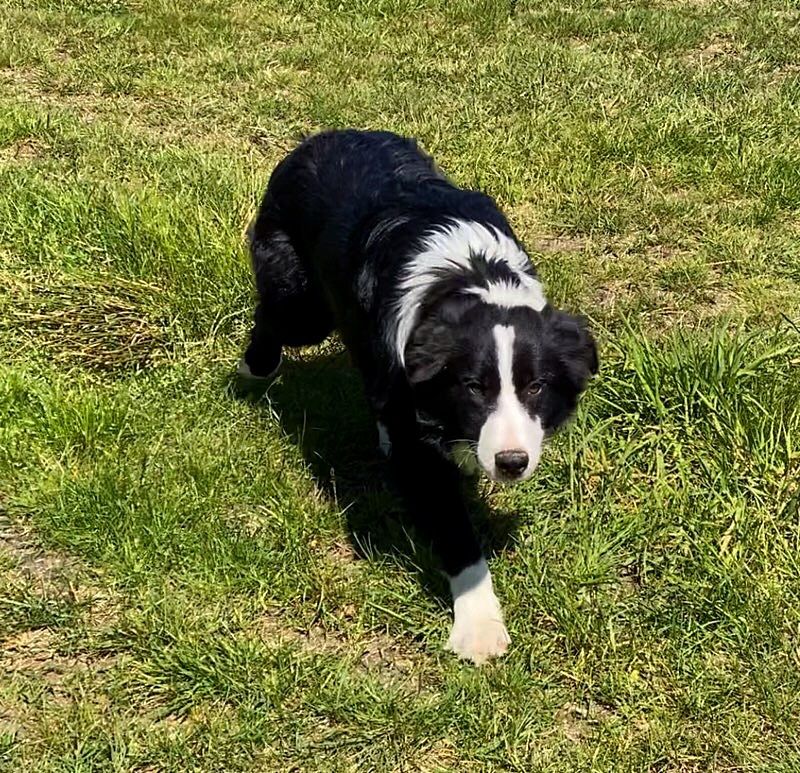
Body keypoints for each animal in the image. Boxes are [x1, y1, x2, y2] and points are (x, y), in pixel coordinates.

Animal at [241, 130, 596, 660]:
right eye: (474, 388)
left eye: (535, 387)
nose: (512, 463)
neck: (471, 283)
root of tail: (323, 136)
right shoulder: (422, 445)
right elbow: (454, 529)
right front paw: (479, 626)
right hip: (304, 306)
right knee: (272, 314)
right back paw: (255, 367)